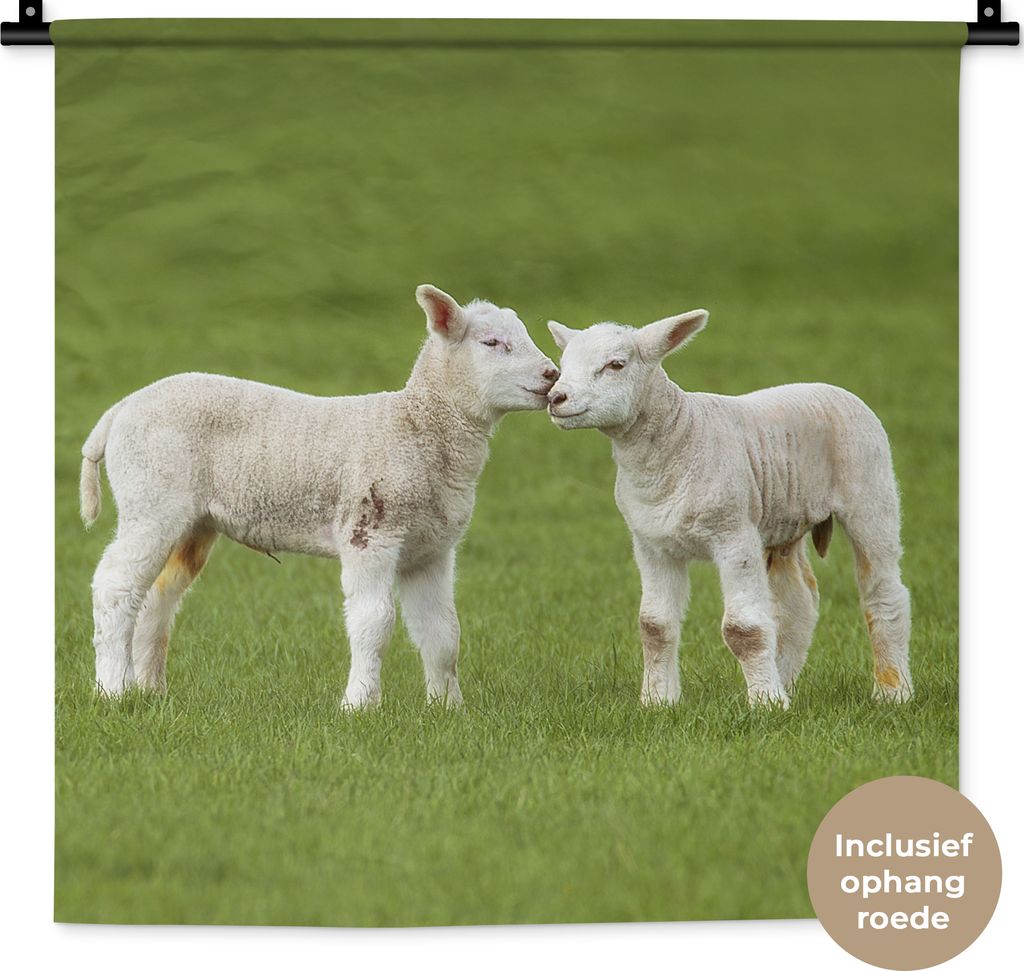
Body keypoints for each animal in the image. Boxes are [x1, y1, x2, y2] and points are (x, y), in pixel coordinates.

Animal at [79, 285, 559, 709]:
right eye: (492, 343)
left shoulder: (431, 549)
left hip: (192, 520)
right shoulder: (370, 531)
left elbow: (443, 632)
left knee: (158, 596)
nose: (552, 374)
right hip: (151, 497)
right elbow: (373, 622)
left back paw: (149, 688)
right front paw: (360, 704)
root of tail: (119, 411)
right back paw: (113, 691)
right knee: (115, 585)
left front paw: (447, 708)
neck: (416, 427)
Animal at [545, 310, 912, 709]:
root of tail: (829, 387)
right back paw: (785, 682)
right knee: (797, 604)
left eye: (616, 365)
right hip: (782, 522)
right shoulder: (651, 543)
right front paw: (658, 701)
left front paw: (765, 704)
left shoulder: (733, 535)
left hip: (869, 488)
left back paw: (893, 691)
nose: (555, 397)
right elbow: (654, 626)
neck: (679, 439)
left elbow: (743, 629)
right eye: (563, 364)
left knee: (883, 593)